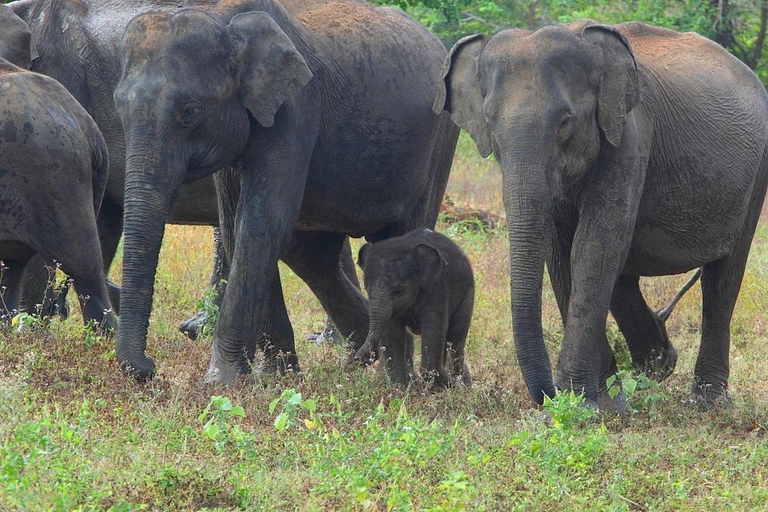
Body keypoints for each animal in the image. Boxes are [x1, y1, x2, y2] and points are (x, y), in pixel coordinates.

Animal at [112, 0, 459, 384]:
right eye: (118, 106)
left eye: (190, 111)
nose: (149, 369)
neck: (221, 17)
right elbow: (237, 232)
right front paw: (277, 378)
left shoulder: (294, 109)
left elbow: (259, 229)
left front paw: (222, 382)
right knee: (310, 251)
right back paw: (366, 353)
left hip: (439, 140)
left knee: (401, 237)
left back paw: (396, 379)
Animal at [355, 228, 474, 388]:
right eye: (367, 290)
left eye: (398, 291)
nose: (356, 358)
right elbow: (393, 334)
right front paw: (399, 388)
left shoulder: (437, 291)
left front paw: (450, 383)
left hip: (467, 295)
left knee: (456, 339)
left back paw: (462, 384)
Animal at [435, 20, 768, 409]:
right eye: (489, 122)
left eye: (566, 121)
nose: (546, 395)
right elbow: (562, 255)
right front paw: (604, 399)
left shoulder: (630, 140)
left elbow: (593, 248)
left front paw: (582, 403)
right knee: (624, 278)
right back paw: (657, 362)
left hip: (756, 174)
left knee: (723, 277)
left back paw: (707, 401)